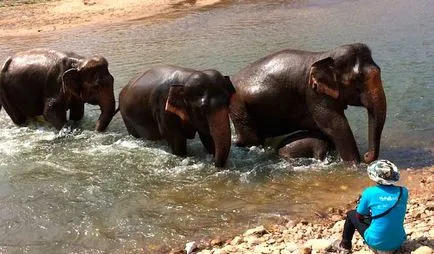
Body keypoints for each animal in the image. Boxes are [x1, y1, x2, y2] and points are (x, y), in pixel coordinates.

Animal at [231, 43, 386, 163]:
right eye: (357, 82)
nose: (366, 155)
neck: (326, 55)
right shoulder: (314, 94)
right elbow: (336, 125)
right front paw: (355, 165)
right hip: (239, 106)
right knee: (251, 138)